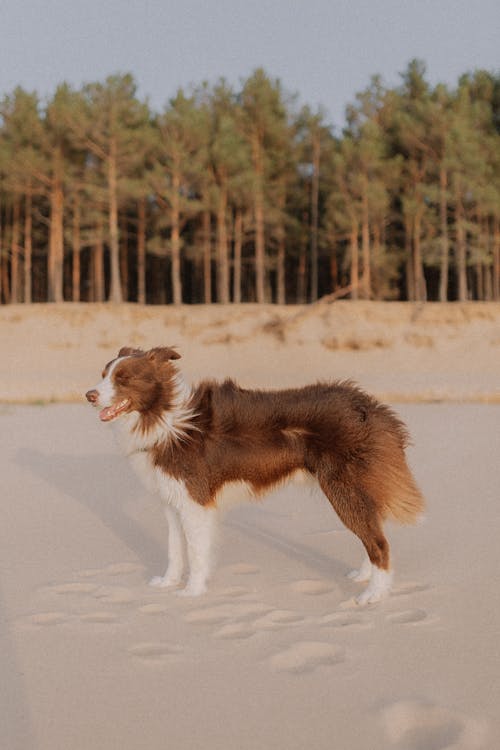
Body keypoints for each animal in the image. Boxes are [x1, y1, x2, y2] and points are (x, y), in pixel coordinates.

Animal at [85, 348, 422, 604]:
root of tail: (368, 405)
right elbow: (174, 549)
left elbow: (196, 551)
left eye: (123, 379)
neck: (164, 418)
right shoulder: (173, 500)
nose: (88, 395)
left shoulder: (195, 502)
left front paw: (192, 592)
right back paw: (365, 576)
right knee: (373, 533)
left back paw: (374, 595)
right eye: (103, 375)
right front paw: (168, 583)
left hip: (342, 489)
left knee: (378, 542)